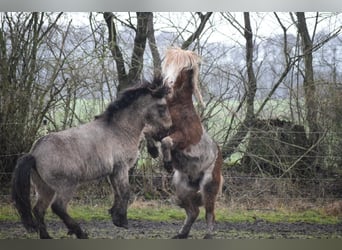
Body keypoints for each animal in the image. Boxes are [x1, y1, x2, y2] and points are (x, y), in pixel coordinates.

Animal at [12, 79, 172, 238]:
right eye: (162, 107)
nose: (166, 132)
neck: (119, 130)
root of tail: (34, 153)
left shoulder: (113, 172)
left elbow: (117, 192)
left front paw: (115, 216)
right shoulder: (122, 168)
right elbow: (125, 192)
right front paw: (122, 221)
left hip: (45, 188)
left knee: (39, 210)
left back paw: (47, 236)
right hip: (66, 186)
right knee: (58, 207)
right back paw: (79, 232)